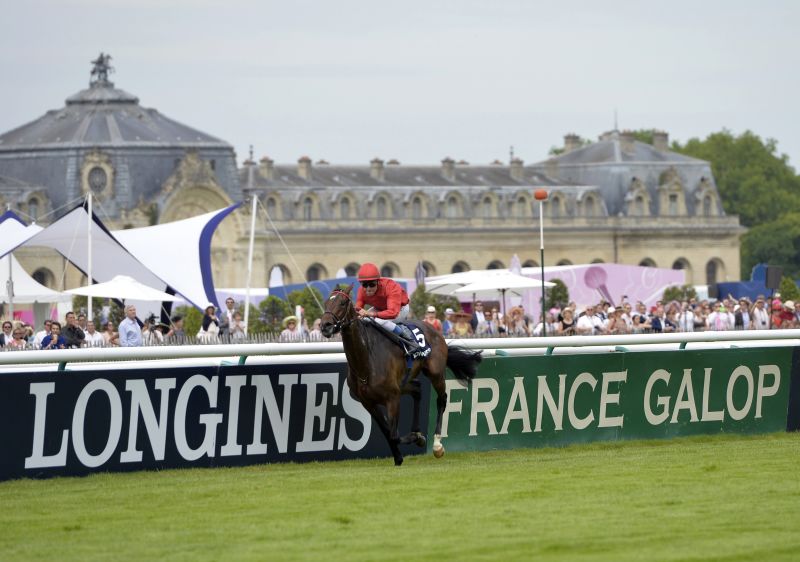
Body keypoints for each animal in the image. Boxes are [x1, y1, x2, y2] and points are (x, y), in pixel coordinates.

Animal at [320, 284, 482, 464]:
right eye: (326, 302)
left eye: (342, 303)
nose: (325, 326)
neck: (366, 359)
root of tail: (434, 329)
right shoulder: (368, 402)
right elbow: (387, 432)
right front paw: (399, 456)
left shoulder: (392, 398)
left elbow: (394, 435)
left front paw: (418, 439)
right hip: (404, 382)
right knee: (417, 389)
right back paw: (418, 430)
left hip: (435, 373)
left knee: (442, 400)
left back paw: (437, 445)